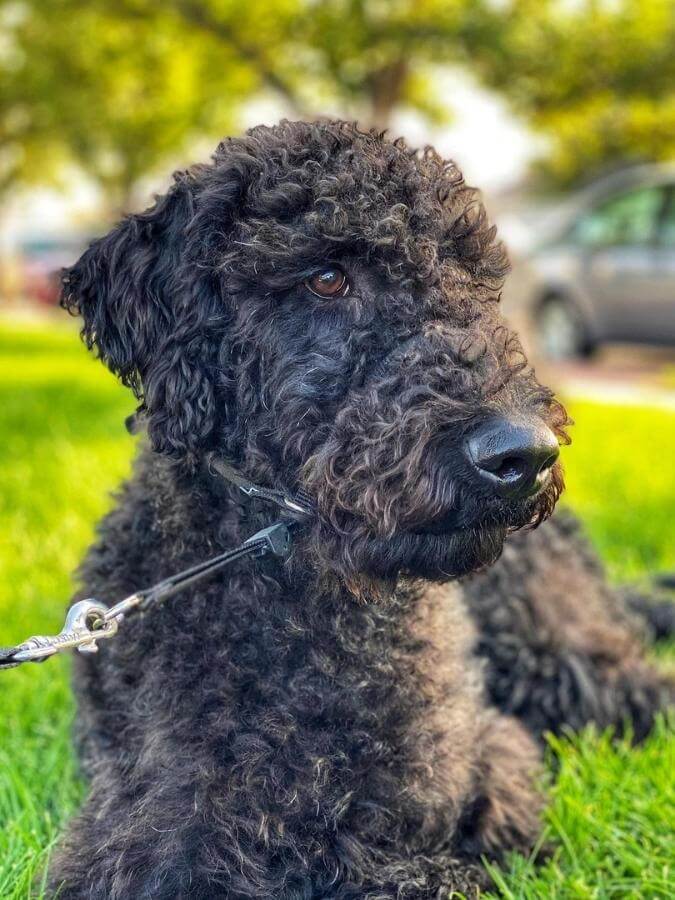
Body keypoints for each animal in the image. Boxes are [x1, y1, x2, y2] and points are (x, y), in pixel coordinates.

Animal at [48, 121, 675, 900]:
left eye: (473, 278)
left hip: (557, 654)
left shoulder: (480, 757)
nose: (522, 455)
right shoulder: (155, 829)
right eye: (326, 277)